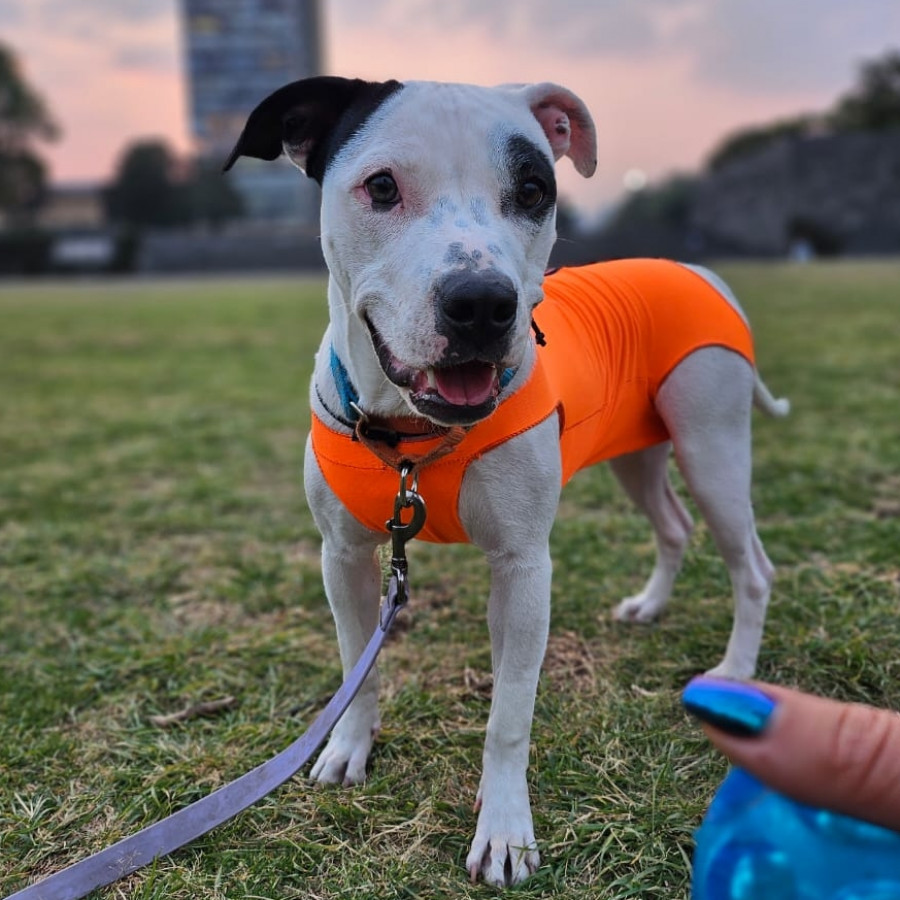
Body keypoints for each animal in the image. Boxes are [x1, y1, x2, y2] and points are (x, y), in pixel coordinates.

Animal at [227, 77, 788, 884]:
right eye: (382, 187)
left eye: (532, 191)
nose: (482, 303)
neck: (410, 437)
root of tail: (699, 270)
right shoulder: (344, 557)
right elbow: (358, 665)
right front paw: (348, 748)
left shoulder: (523, 568)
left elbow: (509, 716)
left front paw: (503, 831)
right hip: (637, 455)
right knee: (674, 526)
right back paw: (650, 606)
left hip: (712, 449)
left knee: (751, 565)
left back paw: (737, 669)